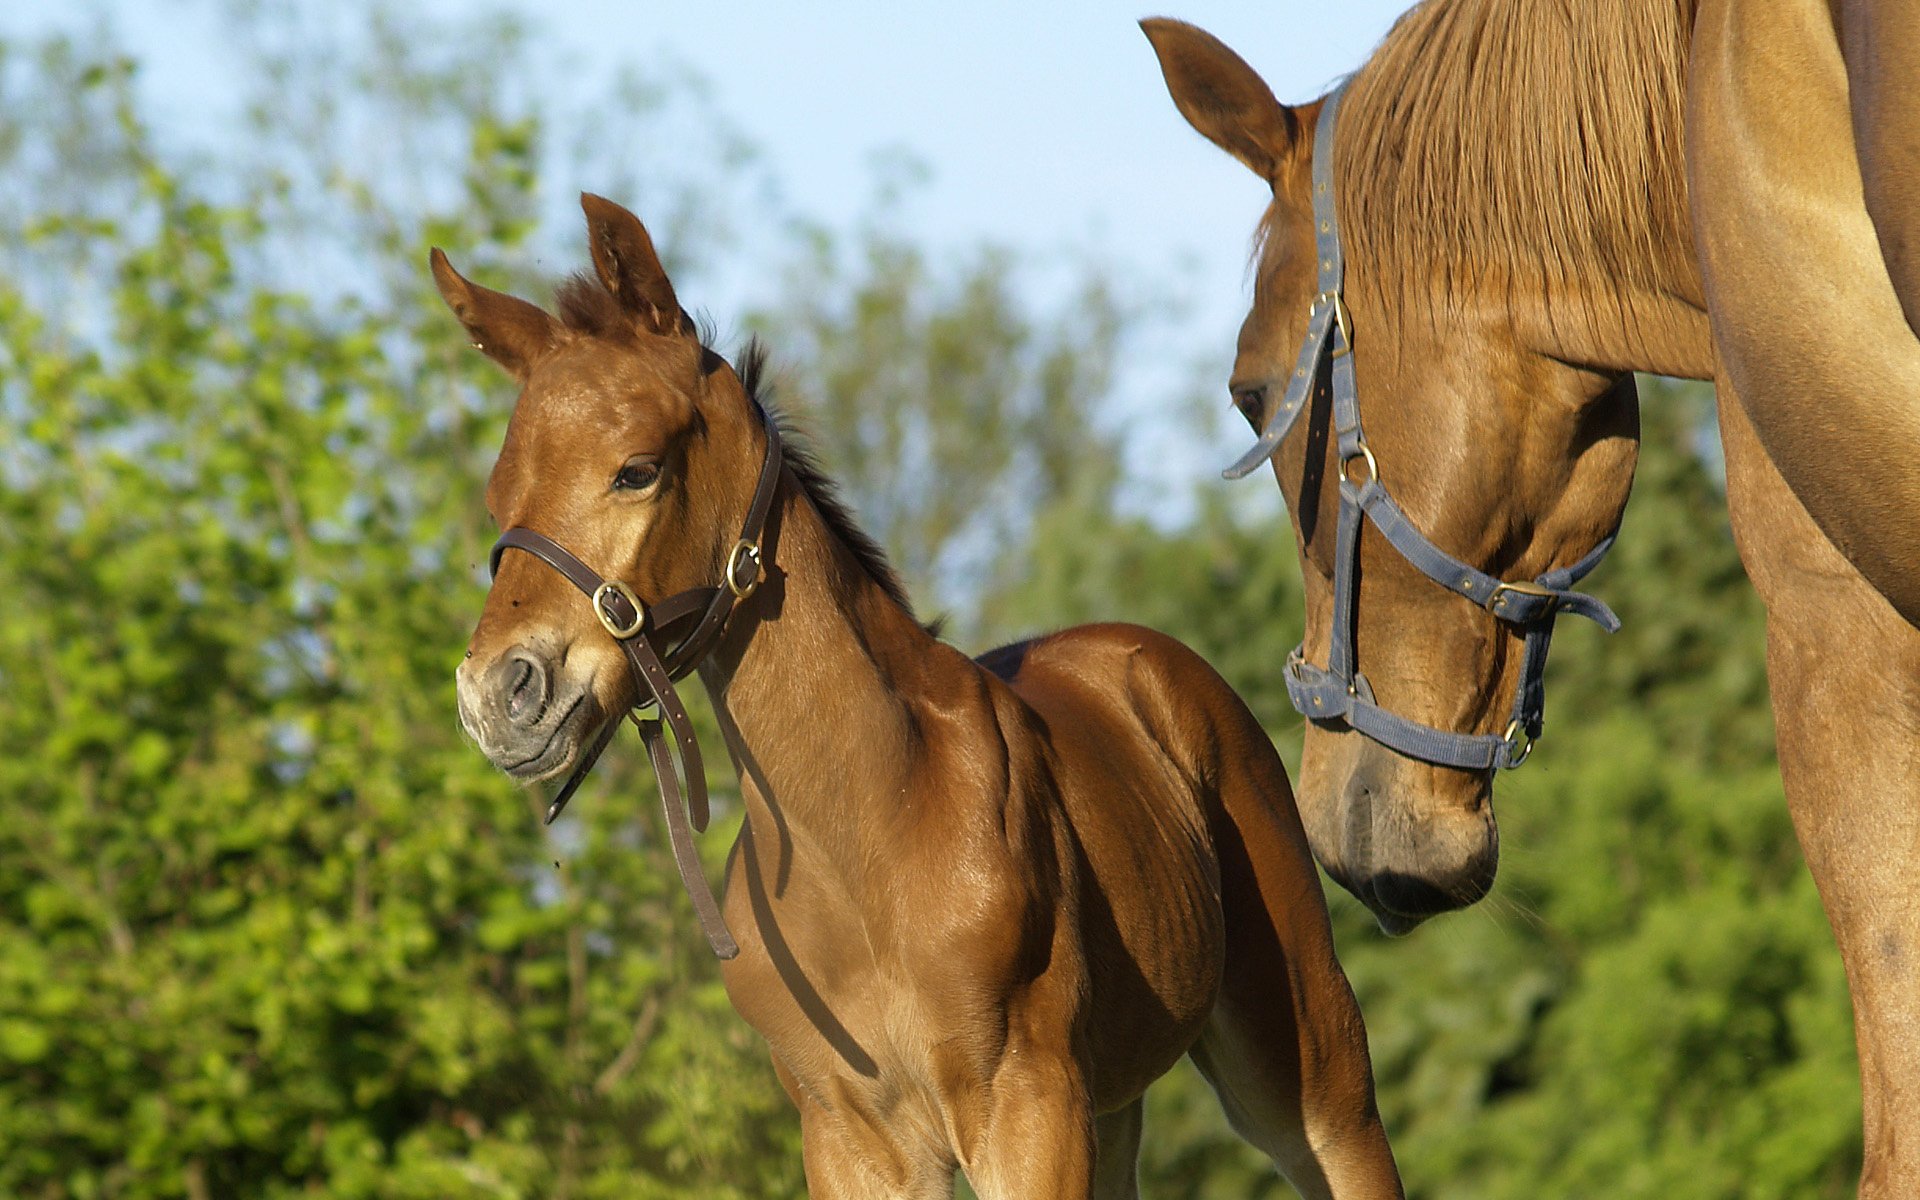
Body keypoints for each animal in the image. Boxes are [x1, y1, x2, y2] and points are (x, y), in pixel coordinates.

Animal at [435, 196, 1405, 1198]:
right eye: (498, 497)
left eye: (637, 469)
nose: (499, 694)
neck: (865, 837)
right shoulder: (848, 1136)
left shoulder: (1028, 1108)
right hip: (1114, 1107)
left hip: (1307, 1067)